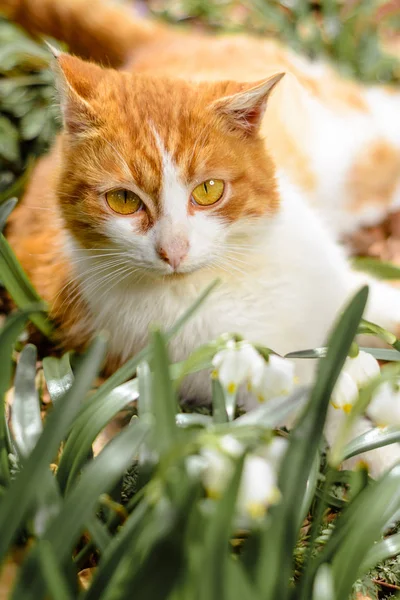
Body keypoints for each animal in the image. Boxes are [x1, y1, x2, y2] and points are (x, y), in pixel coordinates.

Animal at [2, 0, 400, 472]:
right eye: (123, 200)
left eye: (208, 190)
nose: (174, 250)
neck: (232, 274)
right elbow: (332, 422)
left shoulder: (342, 288)